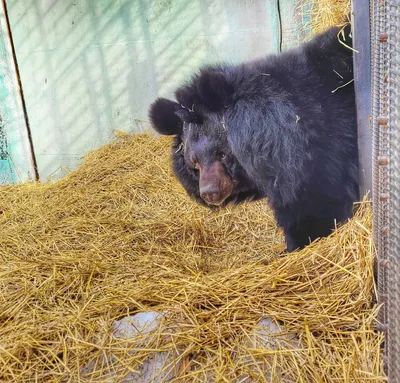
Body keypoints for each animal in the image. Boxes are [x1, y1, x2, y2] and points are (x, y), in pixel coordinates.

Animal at [148, 24, 360, 252]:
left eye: (222, 154)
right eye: (194, 164)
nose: (209, 192)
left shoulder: (321, 155)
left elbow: (316, 203)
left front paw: (299, 242)